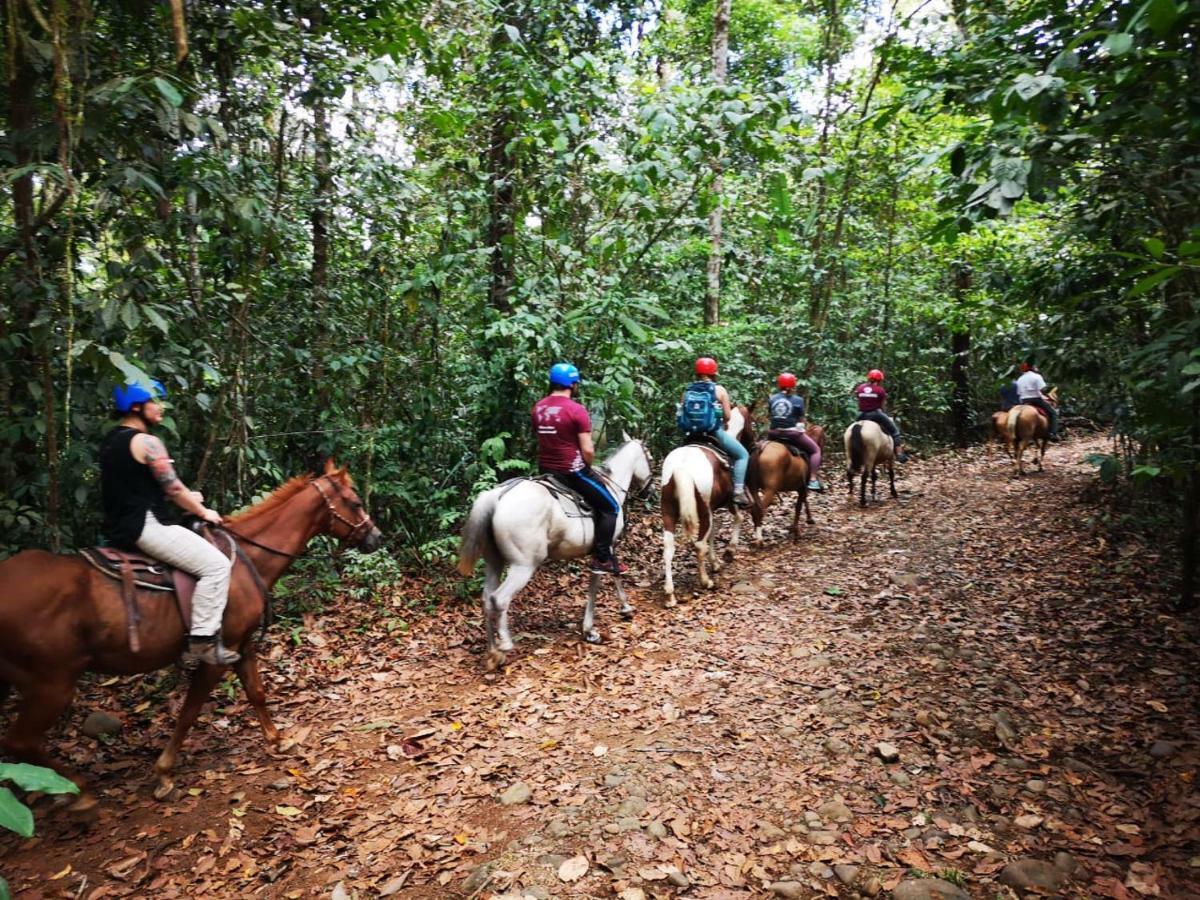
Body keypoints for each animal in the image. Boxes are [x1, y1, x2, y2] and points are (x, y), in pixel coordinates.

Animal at [0, 458, 379, 811]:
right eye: (355, 501)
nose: (376, 537)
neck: (248, 560)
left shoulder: (243, 645)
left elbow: (256, 693)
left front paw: (277, 739)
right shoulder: (218, 654)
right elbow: (190, 710)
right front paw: (165, 773)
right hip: (52, 684)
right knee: (19, 741)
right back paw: (79, 790)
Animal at [453, 436, 652, 672]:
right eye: (649, 457)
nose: (650, 490)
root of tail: (498, 497)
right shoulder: (607, 546)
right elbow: (608, 576)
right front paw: (608, 619)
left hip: (494, 561)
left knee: (486, 599)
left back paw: (493, 652)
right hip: (523, 566)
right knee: (499, 599)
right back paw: (505, 645)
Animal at [662, 408, 753, 607]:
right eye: (753, 422)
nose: (753, 443)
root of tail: (681, 468)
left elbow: (713, 532)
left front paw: (716, 562)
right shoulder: (729, 501)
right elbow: (738, 518)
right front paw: (729, 551)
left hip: (668, 510)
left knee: (668, 548)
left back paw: (670, 595)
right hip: (703, 511)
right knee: (699, 545)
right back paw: (705, 581)